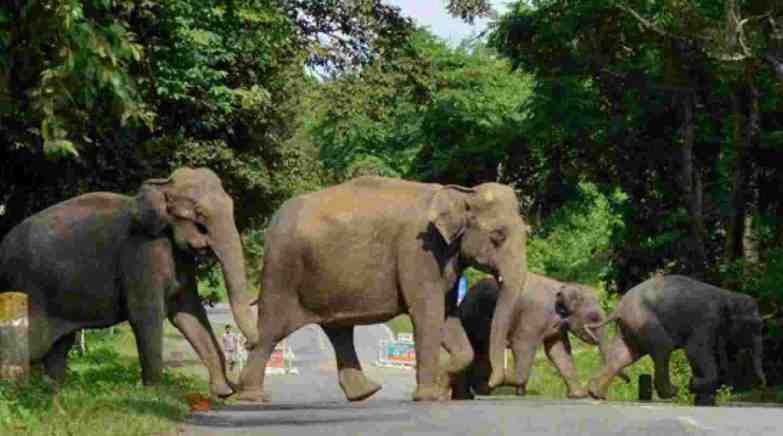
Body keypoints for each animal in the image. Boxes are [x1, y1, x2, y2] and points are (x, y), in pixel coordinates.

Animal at [0, 168, 258, 397]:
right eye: (200, 214)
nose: (238, 386)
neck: (162, 185)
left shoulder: (179, 259)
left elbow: (188, 312)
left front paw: (223, 392)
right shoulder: (142, 252)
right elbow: (146, 314)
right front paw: (156, 395)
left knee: (58, 346)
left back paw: (53, 392)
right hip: (25, 289)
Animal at [237, 176, 529, 402]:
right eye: (498, 236)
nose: (489, 384)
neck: (462, 192)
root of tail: (274, 219)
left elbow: (447, 314)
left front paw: (439, 386)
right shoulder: (418, 252)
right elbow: (428, 314)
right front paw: (428, 396)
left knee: (338, 330)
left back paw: (364, 393)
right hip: (282, 270)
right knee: (272, 329)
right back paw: (252, 397)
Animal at [450, 273, 628, 400]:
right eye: (594, 318)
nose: (628, 381)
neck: (563, 285)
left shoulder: (557, 326)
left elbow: (558, 351)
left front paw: (578, 395)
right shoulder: (533, 315)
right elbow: (523, 345)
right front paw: (511, 382)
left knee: (479, 353)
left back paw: (477, 391)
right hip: (472, 319)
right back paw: (475, 392)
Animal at [587, 274, 766, 405]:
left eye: (760, 326)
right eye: (752, 326)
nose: (763, 383)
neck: (728, 295)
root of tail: (619, 307)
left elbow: (699, 357)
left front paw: (701, 397)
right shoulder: (706, 320)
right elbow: (695, 351)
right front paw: (692, 385)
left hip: (631, 327)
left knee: (623, 356)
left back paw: (595, 394)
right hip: (644, 320)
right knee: (663, 348)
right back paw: (673, 391)